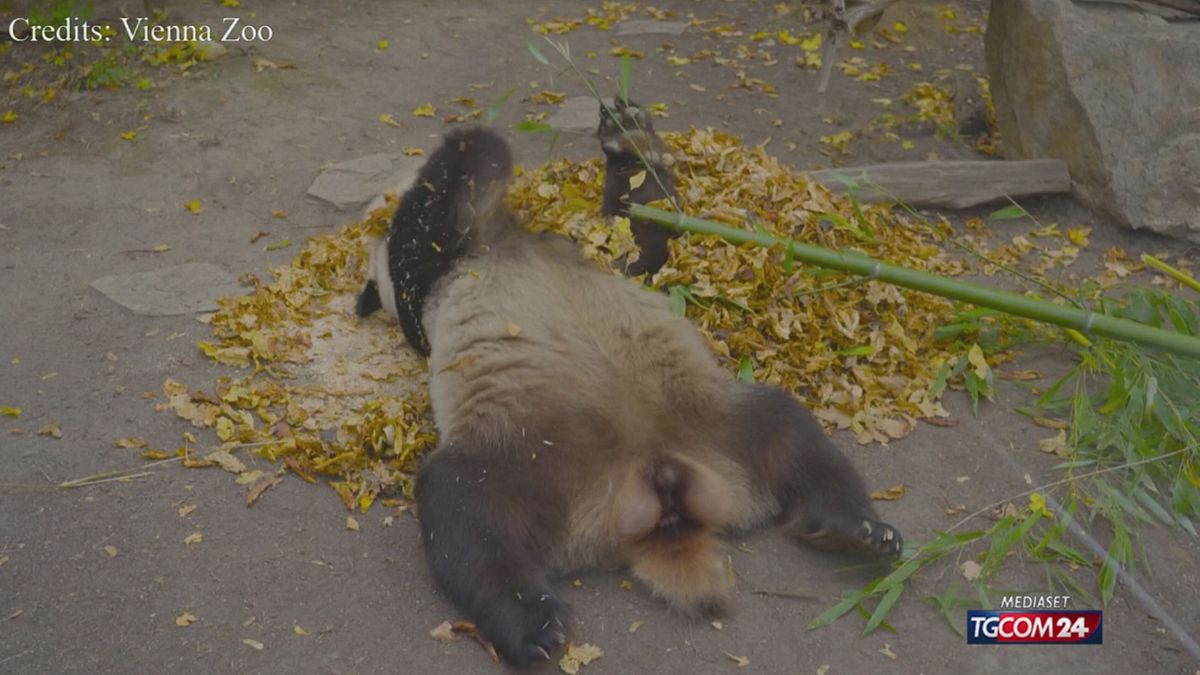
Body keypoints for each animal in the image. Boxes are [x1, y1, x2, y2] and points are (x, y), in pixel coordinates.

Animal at [356, 127, 902, 666]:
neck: (506, 238)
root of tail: (651, 480)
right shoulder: (434, 276)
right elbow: (427, 224)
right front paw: (473, 146)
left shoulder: (581, 248)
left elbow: (640, 238)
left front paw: (627, 144)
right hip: (525, 455)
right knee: (468, 518)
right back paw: (533, 625)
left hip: (715, 417)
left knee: (793, 435)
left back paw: (858, 531)